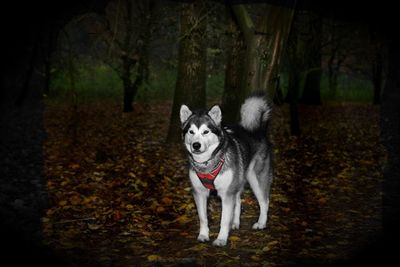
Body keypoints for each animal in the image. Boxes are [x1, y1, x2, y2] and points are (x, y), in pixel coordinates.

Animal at [180, 93, 272, 247]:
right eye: (191, 132)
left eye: (205, 132)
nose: (196, 145)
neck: (207, 163)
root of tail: (258, 131)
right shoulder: (199, 192)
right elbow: (203, 218)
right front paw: (203, 235)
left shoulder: (226, 194)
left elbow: (223, 220)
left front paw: (221, 239)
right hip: (238, 180)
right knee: (239, 200)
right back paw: (235, 223)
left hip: (256, 180)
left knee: (264, 201)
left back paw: (261, 223)